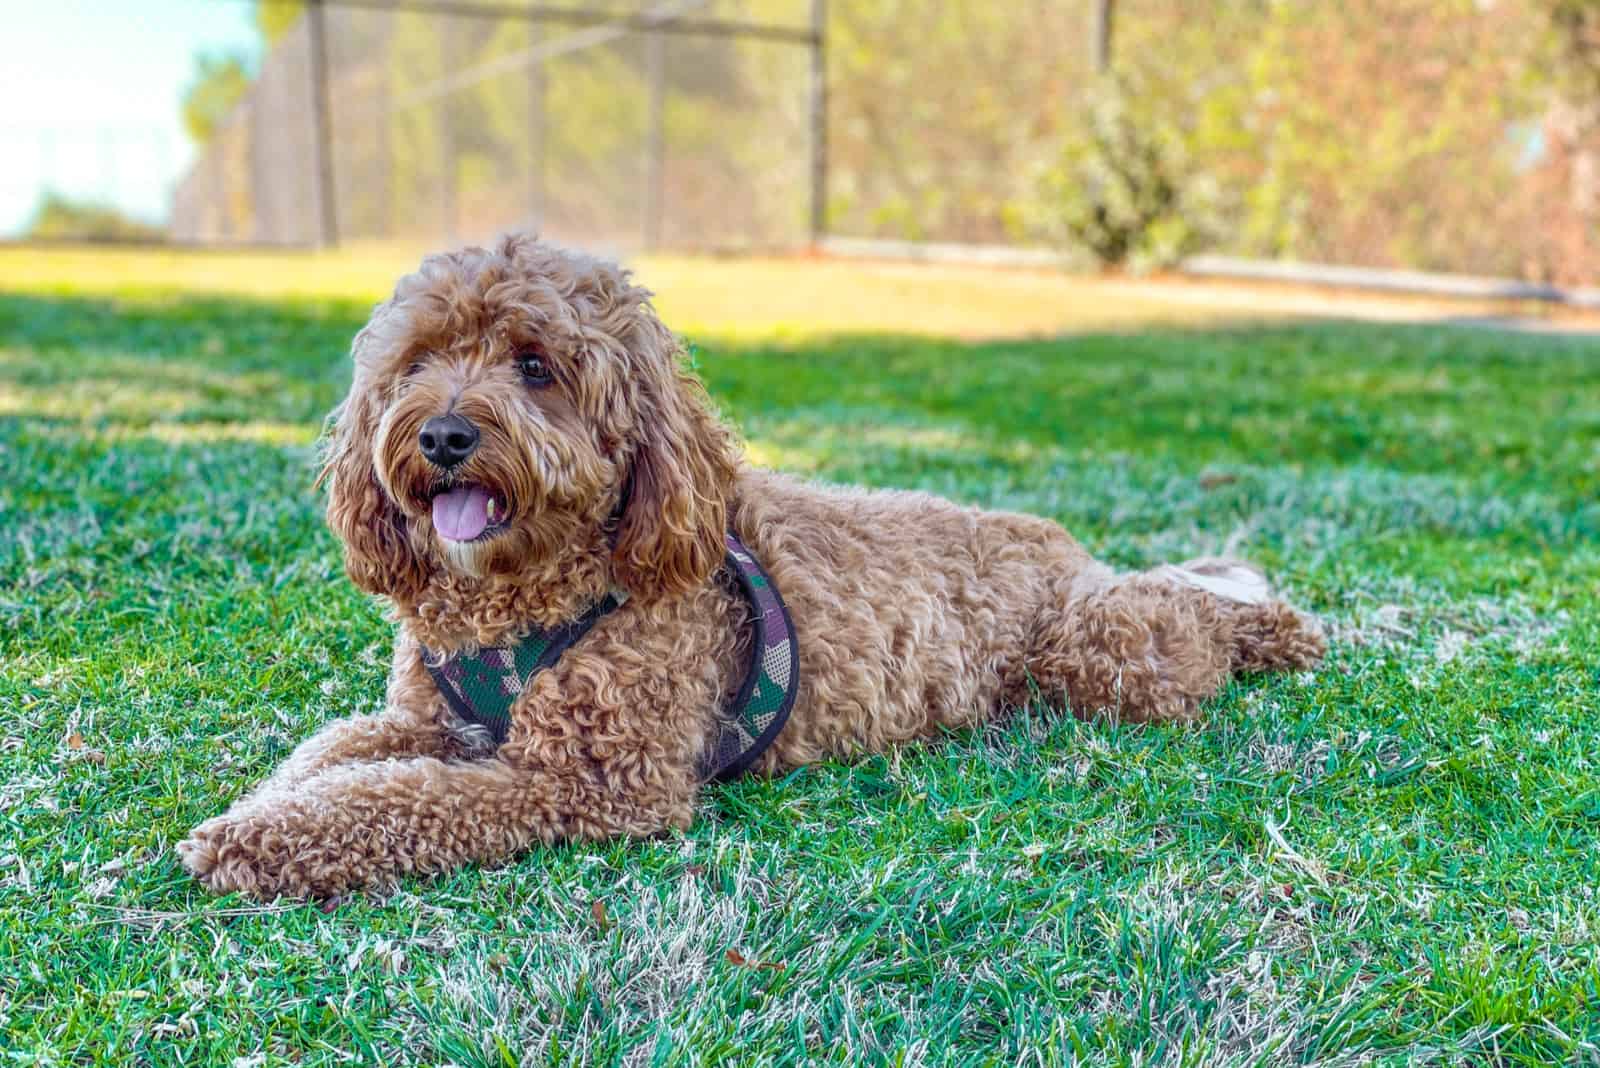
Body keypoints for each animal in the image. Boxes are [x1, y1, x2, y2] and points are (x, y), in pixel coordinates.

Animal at [178, 235, 1324, 901]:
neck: (522, 597)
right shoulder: (428, 719)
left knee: (1187, 620)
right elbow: (333, 758)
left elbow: (394, 801)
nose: (445, 435)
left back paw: (1277, 627)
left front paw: (252, 844)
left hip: (1102, 655)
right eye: (418, 362)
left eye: (536, 366)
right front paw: (257, 810)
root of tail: (1060, 544)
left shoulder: (591, 781)